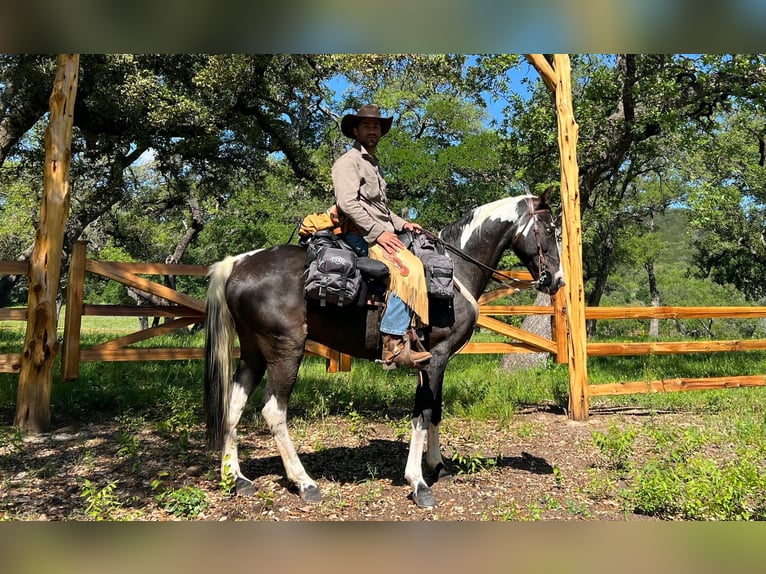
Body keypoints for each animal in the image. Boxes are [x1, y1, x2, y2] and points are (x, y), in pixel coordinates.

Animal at [204, 190, 564, 508]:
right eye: (549, 230)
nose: (557, 280)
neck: (454, 273)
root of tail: (238, 263)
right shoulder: (434, 358)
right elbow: (423, 414)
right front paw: (418, 483)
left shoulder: (439, 361)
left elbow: (436, 411)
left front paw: (438, 466)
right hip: (285, 352)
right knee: (273, 410)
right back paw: (304, 482)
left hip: (253, 353)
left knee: (233, 405)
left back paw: (236, 478)